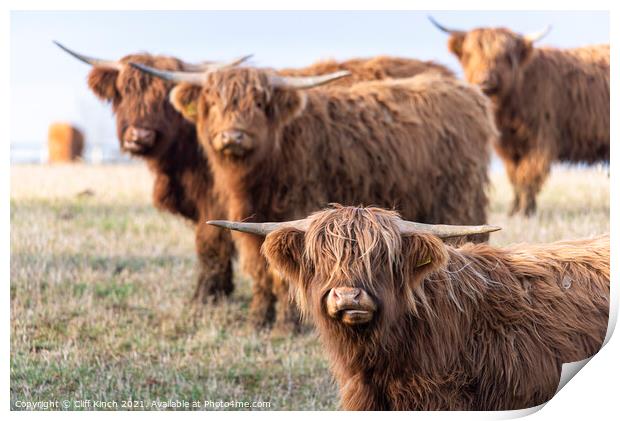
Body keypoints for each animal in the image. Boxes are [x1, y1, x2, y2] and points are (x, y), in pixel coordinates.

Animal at [130, 63, 494, 332]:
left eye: (259, 104)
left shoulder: (297, 208)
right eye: (214, 103)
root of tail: (468, 94)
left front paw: (286, 326)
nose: (233, 136)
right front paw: (257, 320)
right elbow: (259, 269)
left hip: (458, 200)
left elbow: (284, 275)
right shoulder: (249, 217)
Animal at [432, 17, 612, 215]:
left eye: (505, 56)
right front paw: (514, 209)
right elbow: (514, 177)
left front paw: (525, 211)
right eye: (470, 54)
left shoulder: (539, 143)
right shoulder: (509, 147)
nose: (485, 80)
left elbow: (527, 176)